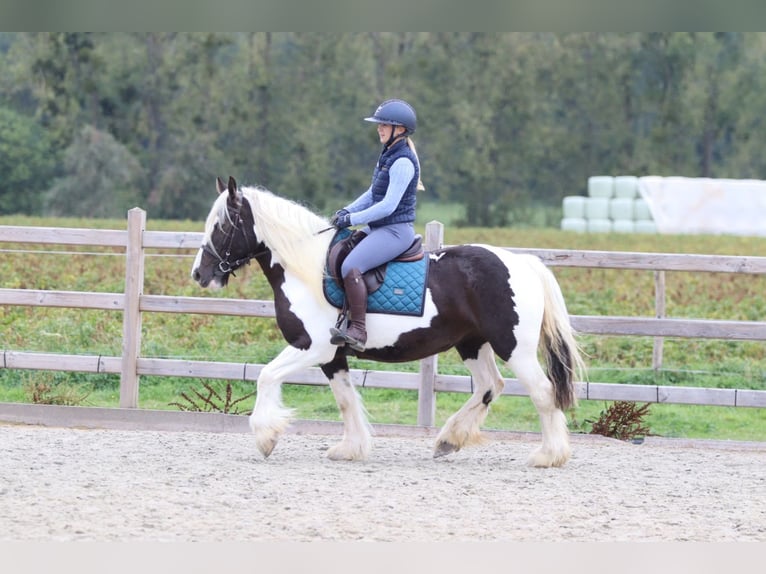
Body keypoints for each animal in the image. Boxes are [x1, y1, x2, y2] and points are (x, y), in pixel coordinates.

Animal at [191, 176, 586, 467]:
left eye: (222, 225)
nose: (200, 274)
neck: (307, 271)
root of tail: (524, 264)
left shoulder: (312, 347)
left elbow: (266, 376)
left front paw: (266, 437)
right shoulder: (333, 355)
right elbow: (345, 399)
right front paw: (349, 449)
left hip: (514, 347)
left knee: (543, 392)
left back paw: (548, 456)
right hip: (471, 343)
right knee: (490, 386)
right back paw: (448, 440)